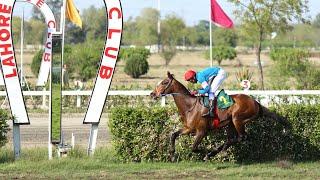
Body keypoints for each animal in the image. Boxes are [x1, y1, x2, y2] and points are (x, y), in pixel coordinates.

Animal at [150, 71, 290, 161]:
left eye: (164, 82)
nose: (152, 94)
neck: (190, 106)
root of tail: (256, 103)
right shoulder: (189, 128)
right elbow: (173, 135)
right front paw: (172, 155)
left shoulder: (202, 131)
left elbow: (194, 148)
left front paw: (206, 152)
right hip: (231, 123)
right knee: (232, 139)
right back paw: (219, 151)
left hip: (237, 119)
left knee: (241, 137)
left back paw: (214, 152)